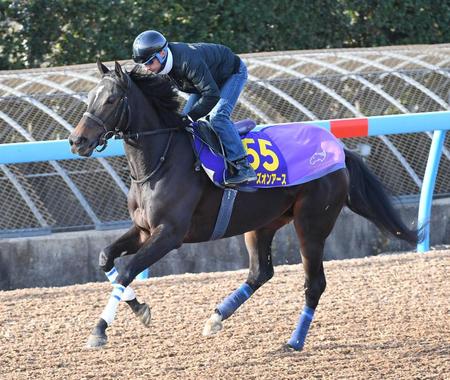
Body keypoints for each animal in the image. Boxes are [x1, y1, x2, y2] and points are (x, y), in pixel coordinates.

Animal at [68, 61, 420, 350]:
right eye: (89, 97)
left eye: (111, 100)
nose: (77, 140)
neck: (161, 160)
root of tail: (338, 150)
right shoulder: (144, 229)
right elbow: (106, 258)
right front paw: (140, 309)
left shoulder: (170, 233)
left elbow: (127, 270)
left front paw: (99, 331)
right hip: (263, 222)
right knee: (260, 272)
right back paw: (216, 318)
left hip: (311, 224)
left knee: (314, 283)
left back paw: (294, 341)